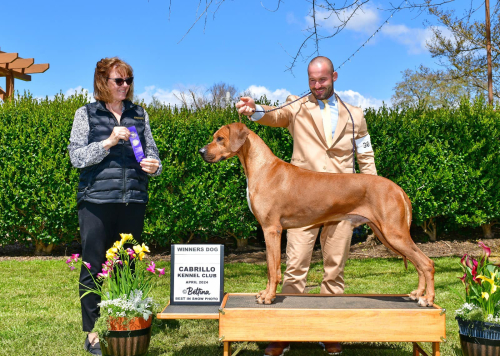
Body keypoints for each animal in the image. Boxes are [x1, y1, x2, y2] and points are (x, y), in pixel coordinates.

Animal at [198, 123, 434, 306]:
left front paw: (269, 297)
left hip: (394, 233)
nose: (200, 151)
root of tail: (398, 188)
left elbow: (273, 268)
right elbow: (270, 267)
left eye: (220, 138)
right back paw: (417, 293)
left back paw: (428, 299)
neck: (263, 168)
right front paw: (266, 293)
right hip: (386, 234)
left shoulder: (271, 229)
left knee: (427, 263)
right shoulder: (269, 231)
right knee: (418, 263)